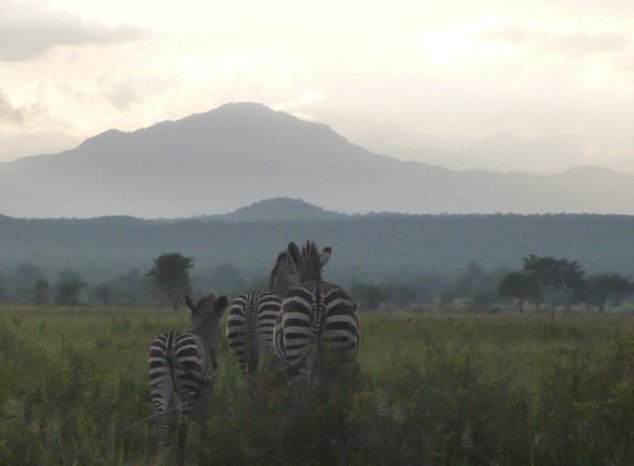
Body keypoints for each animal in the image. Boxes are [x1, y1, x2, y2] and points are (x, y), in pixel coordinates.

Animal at [148, 294, 227, 464]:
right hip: (188, 386)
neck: (202, 335)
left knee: (160, 417)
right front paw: (203, 450)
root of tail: (170, 340)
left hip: (159, 379)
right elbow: (202, 420)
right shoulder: (205, 391)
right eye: (219, 331)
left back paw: (160, 457)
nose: (216, 364)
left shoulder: (176, 394)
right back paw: (181, 459)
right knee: (183, 425)